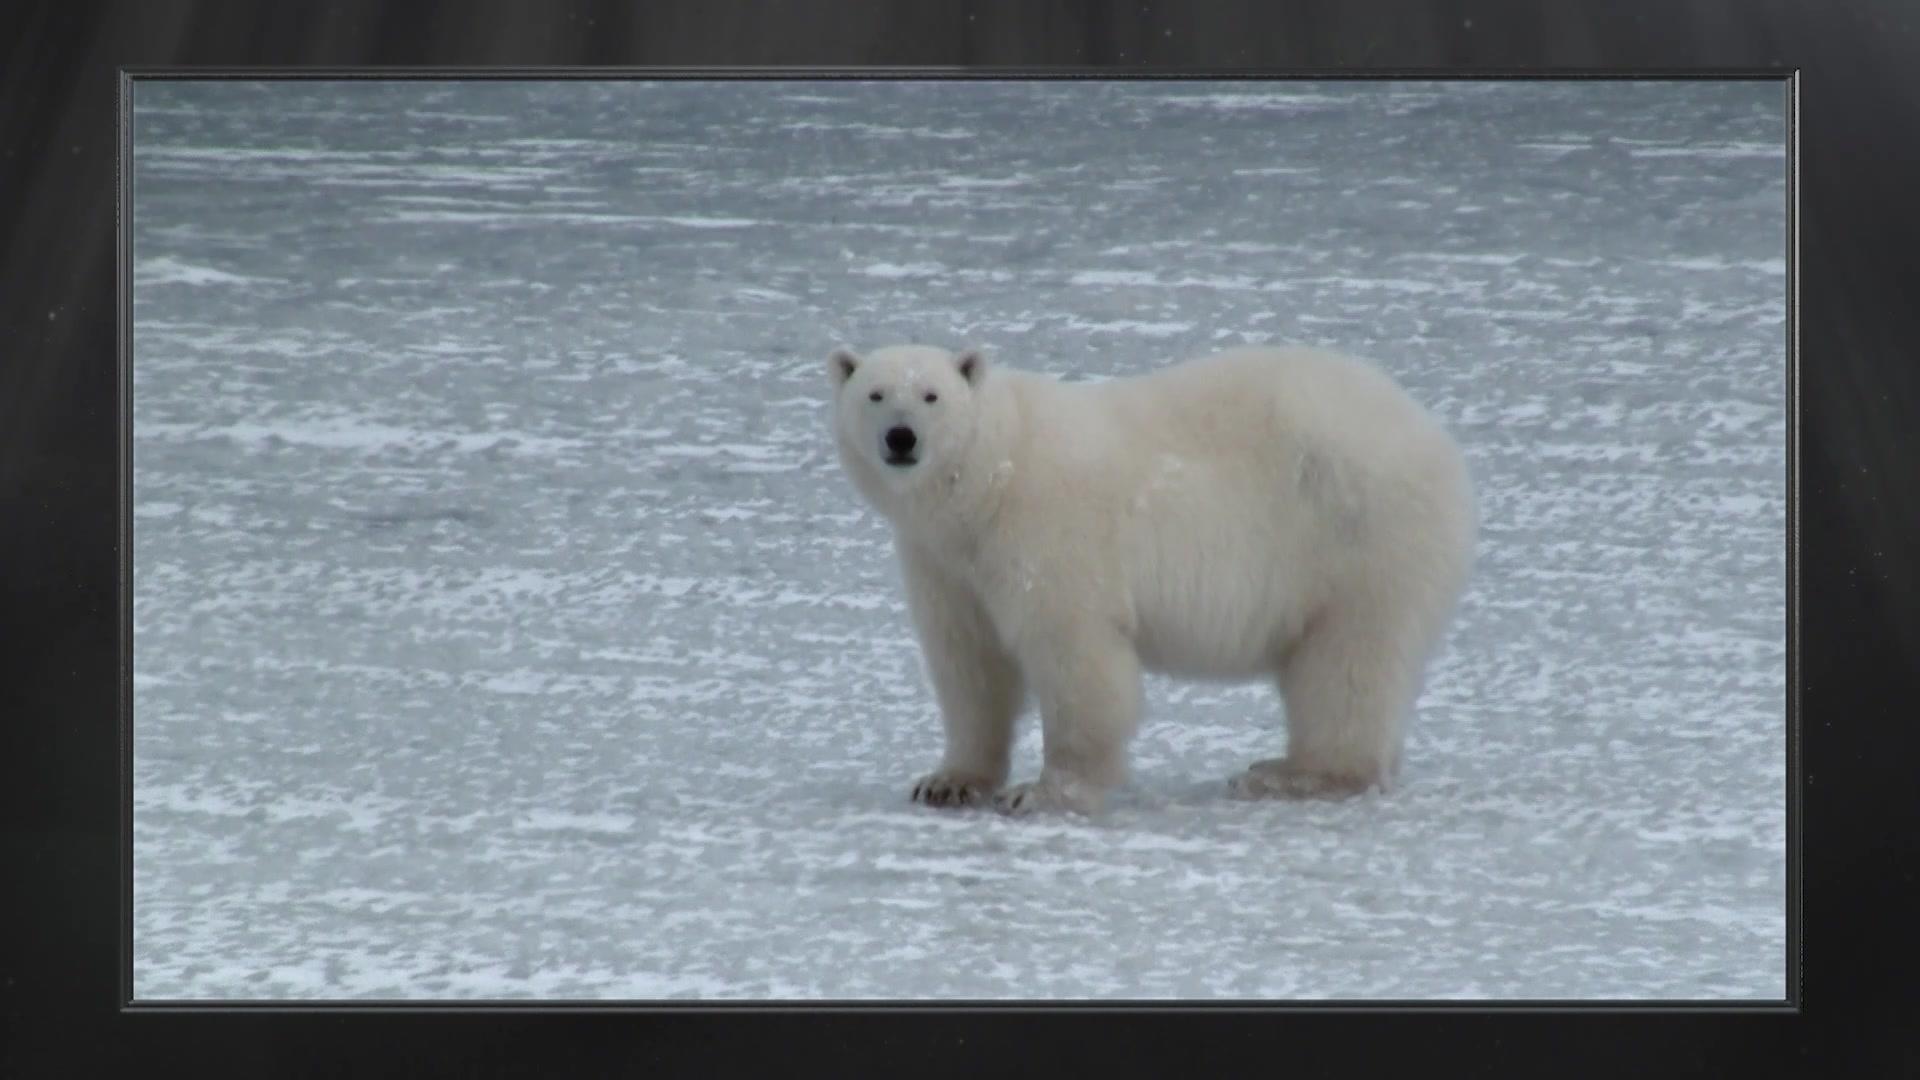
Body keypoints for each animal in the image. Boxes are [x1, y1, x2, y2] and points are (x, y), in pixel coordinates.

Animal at [833, 340, 1474, 810]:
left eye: (931, 395)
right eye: (875, 394)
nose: (901, 437)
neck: (990, 482)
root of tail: (1434, 437)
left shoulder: (1046, 534)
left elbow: (1074, 655)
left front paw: (1044, 792)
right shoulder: (944, 563)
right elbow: (968, 662)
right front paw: (948, 781)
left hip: (1356, 534)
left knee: (1347, 662)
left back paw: (1291, 774)